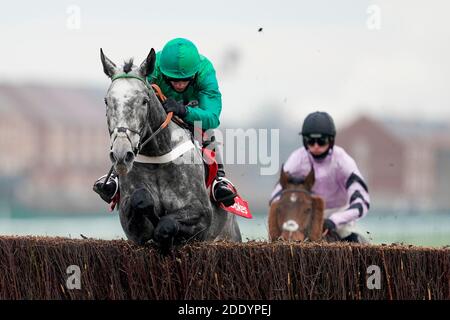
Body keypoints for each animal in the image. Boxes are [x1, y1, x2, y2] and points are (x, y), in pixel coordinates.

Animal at [100, 48, 243, 249]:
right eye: (107, 101)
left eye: (144, 101)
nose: (121, 155)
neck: (157, 156)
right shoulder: (131, 226)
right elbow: (140, 200)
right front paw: (148, 206)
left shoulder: (202, 214)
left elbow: (166, 225)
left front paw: (164, 235)